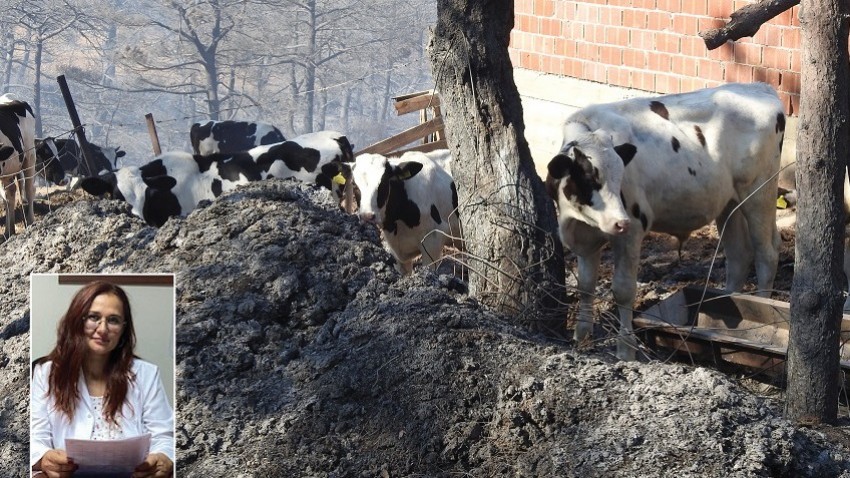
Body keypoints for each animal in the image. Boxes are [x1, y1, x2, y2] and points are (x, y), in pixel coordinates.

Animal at [548, 83, 784, 358]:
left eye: (620, 177)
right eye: (588, 177)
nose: (620, 222)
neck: (576, 221)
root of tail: (759, 87)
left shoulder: (632, 231)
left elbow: (623, 290)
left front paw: (625, 349)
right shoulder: (585, 237)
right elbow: (585, 285)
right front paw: (581, 336)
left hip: (759, 192)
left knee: (766, 254)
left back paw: (762, 306)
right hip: (729, 202)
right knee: (739, 256)